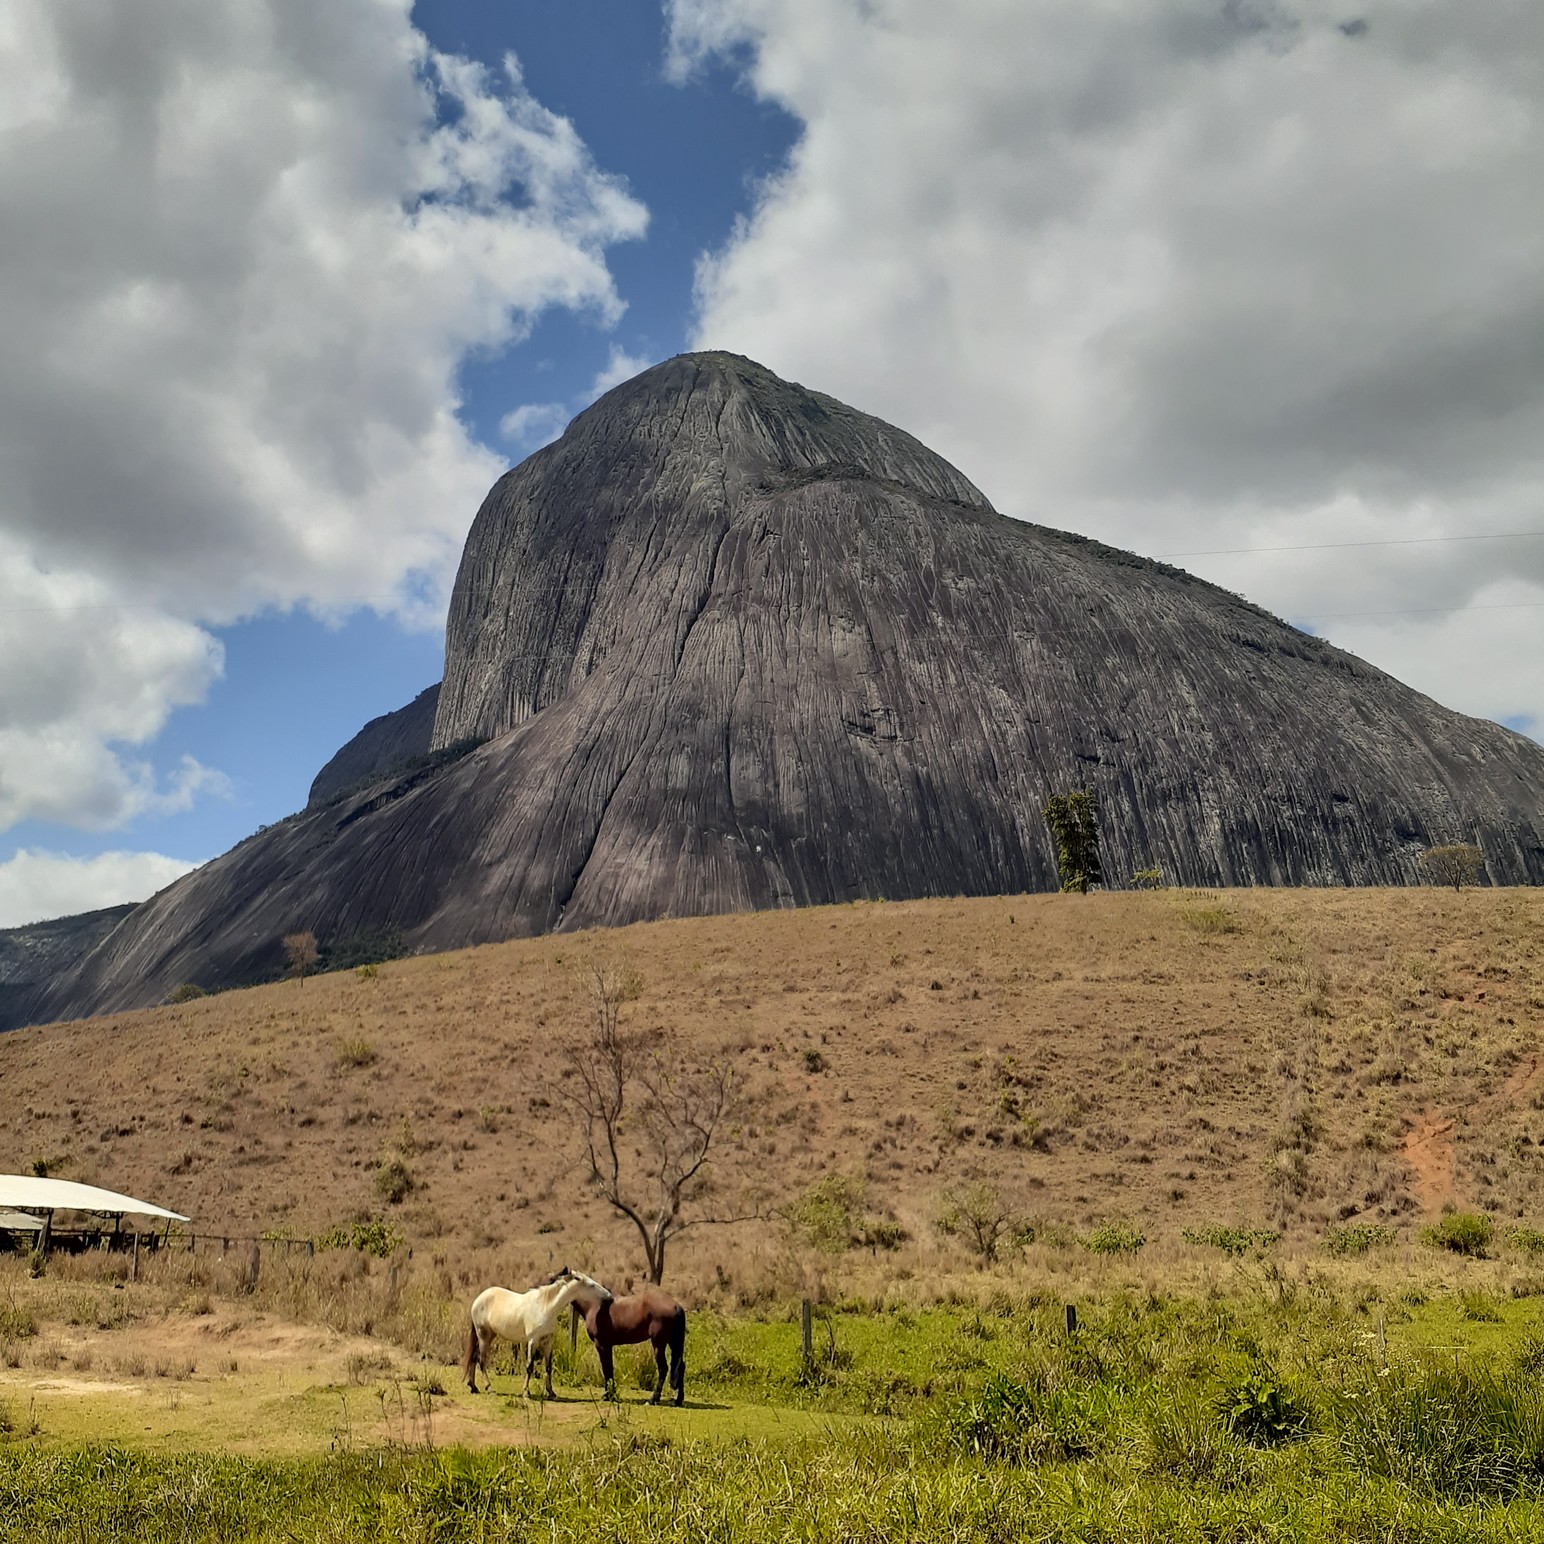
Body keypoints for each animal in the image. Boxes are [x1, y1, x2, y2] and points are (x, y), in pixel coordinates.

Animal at [462, 1266, 612, 1397]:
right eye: (591, 1285)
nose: (609, 1297)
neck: (545, 1307)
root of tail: (478, 1299)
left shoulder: (548, 1341)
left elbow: (548, 1367)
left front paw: (550, 1392)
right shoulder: (532, 1341)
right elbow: (529, 1366)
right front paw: (526, 1392)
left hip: (489, 1335)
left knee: (474, 1357)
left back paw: (473, 1387)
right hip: (483, 1336)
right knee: (481, 1360)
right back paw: (489, 1388)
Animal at [560, 1276, 687, 1406]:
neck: (594, 1305)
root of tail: (676, 1306)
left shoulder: (601, 1345)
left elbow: (606, 1369)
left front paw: (607, 1395)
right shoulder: (608, 1346)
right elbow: (610, 1369)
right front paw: (611, 1394)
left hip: (658, 1344)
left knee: (663, 1368)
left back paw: (653, 1399)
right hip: (673, 1342)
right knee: (680, 1366)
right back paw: (677, 1400)